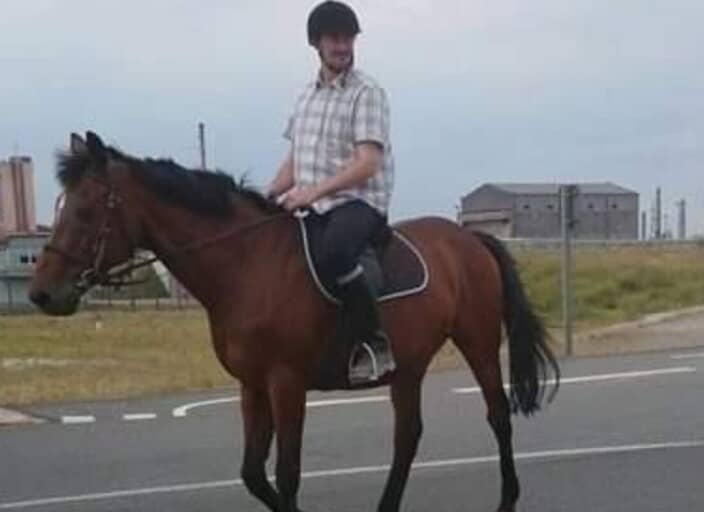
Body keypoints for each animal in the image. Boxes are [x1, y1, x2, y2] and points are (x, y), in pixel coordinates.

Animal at [29, 132, 559, 512]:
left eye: (85, 209)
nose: (42, 293)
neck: (248, 263)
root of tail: (469, 239)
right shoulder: (252, 385)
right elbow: (253, 473)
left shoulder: (286, 383)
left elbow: (286, 474)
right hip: (408, 365)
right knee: (407, 435)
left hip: (478, 341)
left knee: (497, 416)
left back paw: (507, 500)